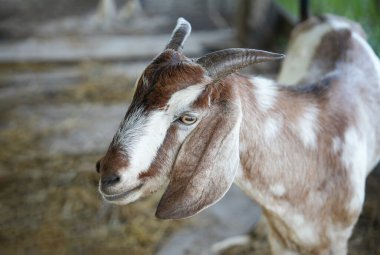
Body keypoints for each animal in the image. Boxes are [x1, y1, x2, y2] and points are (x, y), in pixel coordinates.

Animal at [96, 14, 380, 254]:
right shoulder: (281, 240)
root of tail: (331, 18)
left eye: (188, 117)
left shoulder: (336, 242)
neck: (312, 157)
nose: (109, 175)